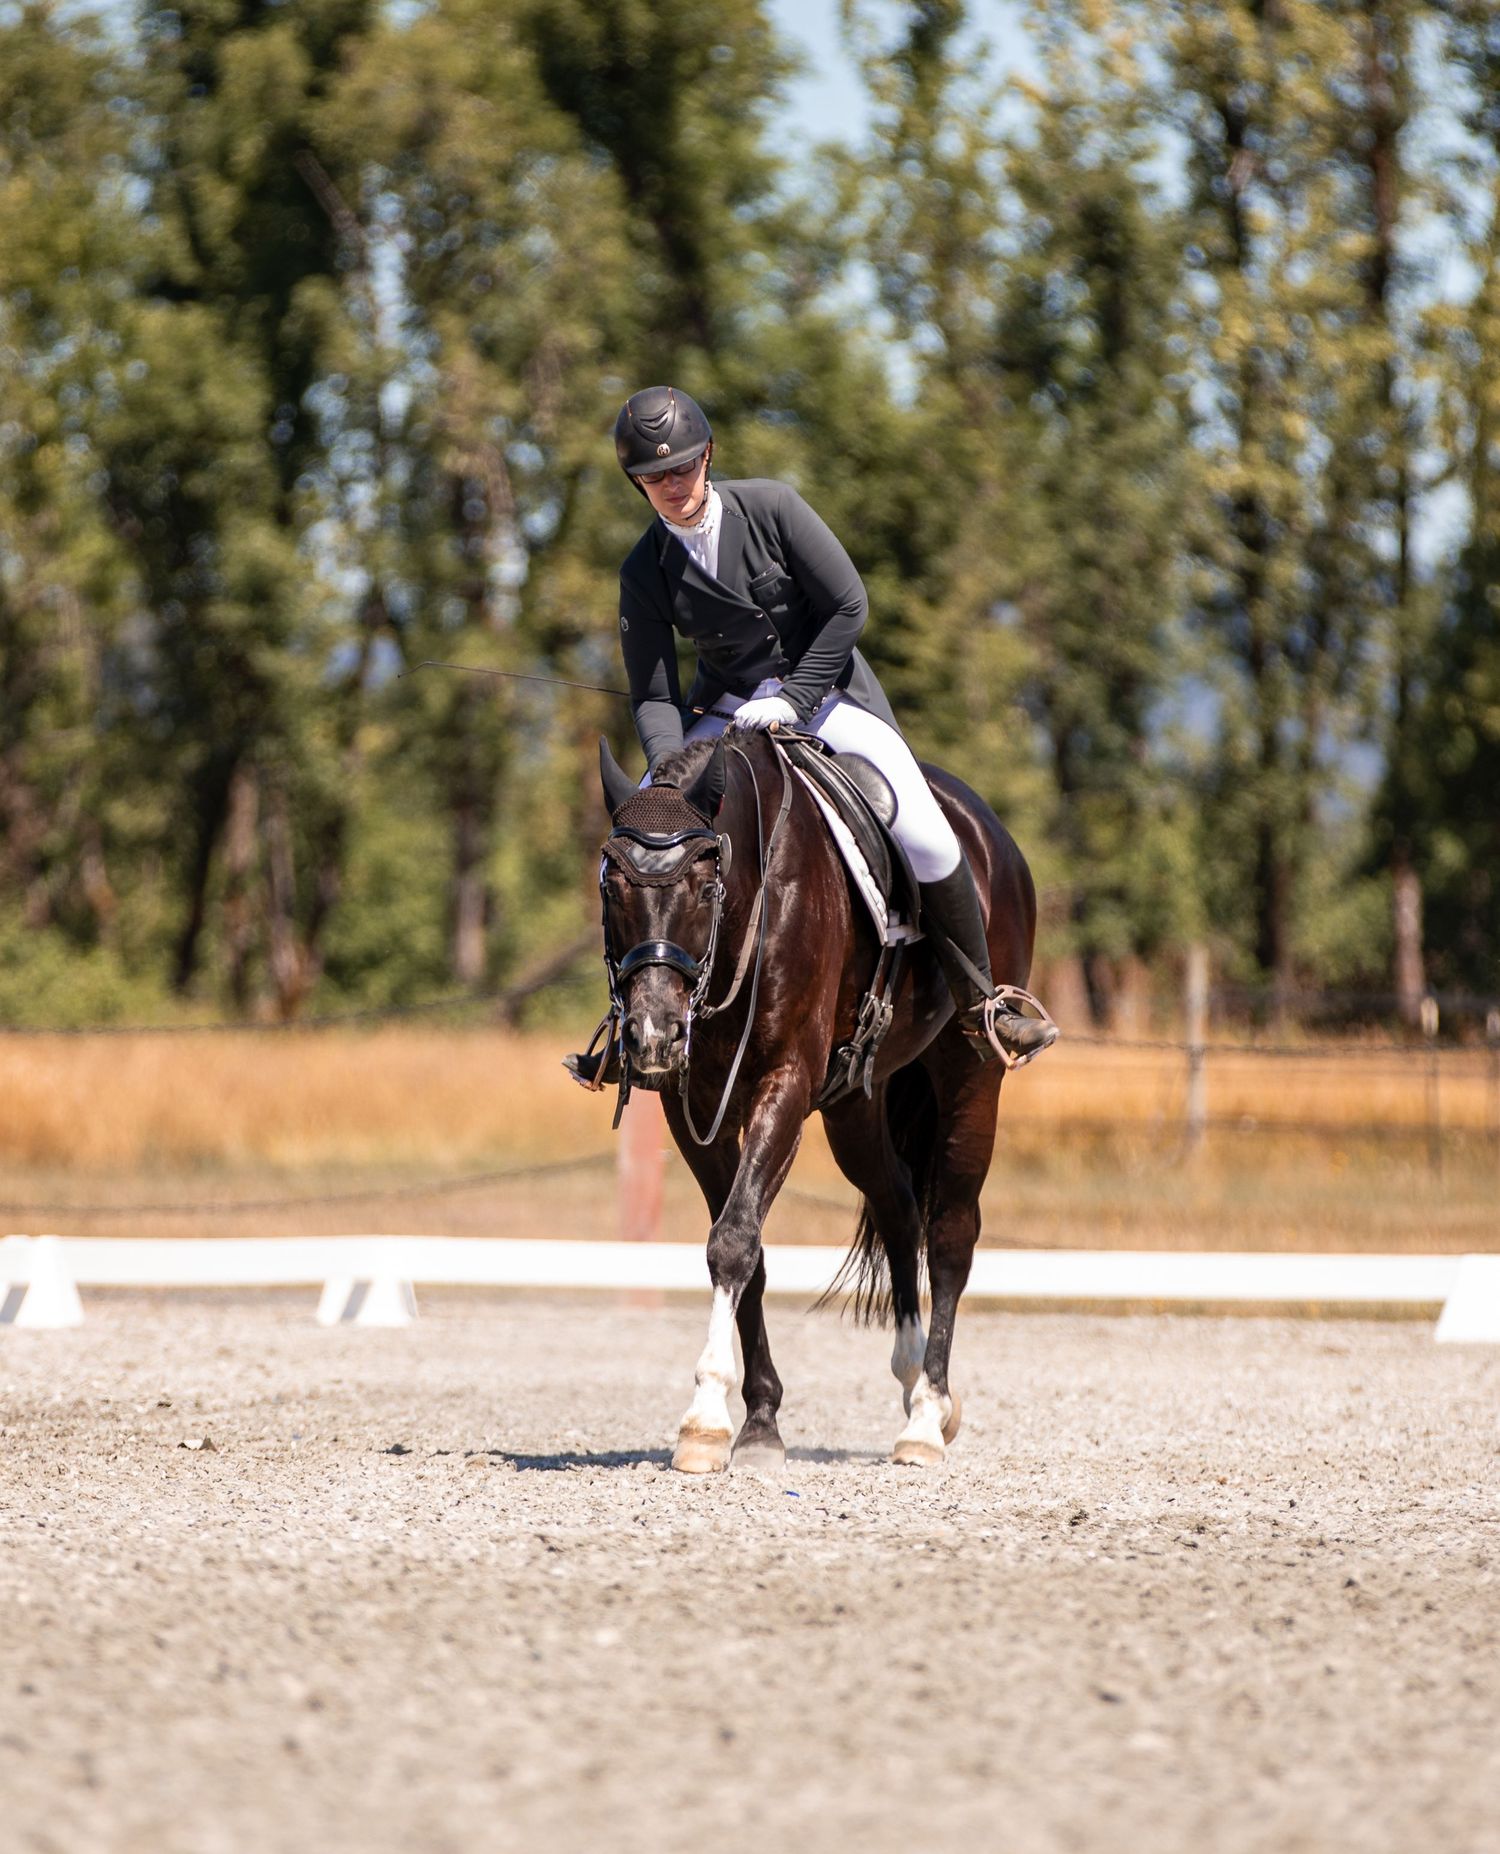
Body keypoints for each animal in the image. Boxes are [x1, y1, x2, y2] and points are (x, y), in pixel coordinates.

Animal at [592, 726, 1038, 1472]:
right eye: (611, 884)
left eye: (706, 884)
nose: (654, 1032)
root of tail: (987, 825)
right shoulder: (697, 1110)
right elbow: (744, 1246)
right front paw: (759, 1419)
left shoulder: (786, 1083)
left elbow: (734, 1240)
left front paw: (705, 1417)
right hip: (854, 1105)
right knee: (897, 1205)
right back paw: (913, 1381)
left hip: (971, 1077)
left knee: (951, 1231)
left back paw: (927, 1418)